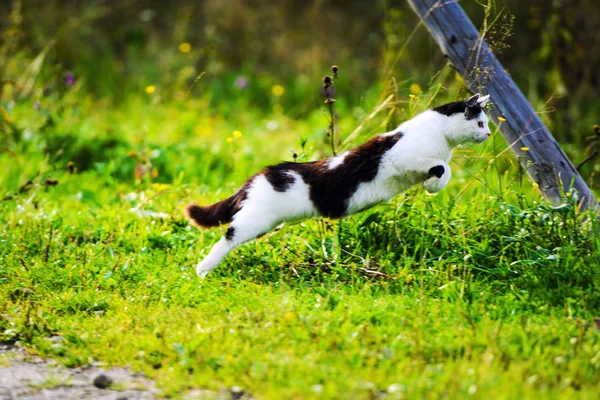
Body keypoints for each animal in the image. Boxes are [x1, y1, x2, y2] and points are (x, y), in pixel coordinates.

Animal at [185, 93, 490, 278]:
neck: (440, 136)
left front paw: (431, 184)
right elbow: (443, 168)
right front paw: (432, 184)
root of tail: (259, 174)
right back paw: (203, 269)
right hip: (257, 220)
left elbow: (444, 170)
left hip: (267, 221)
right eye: (479, 123)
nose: (488, 134)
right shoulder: (405, 158)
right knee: (229, 234)